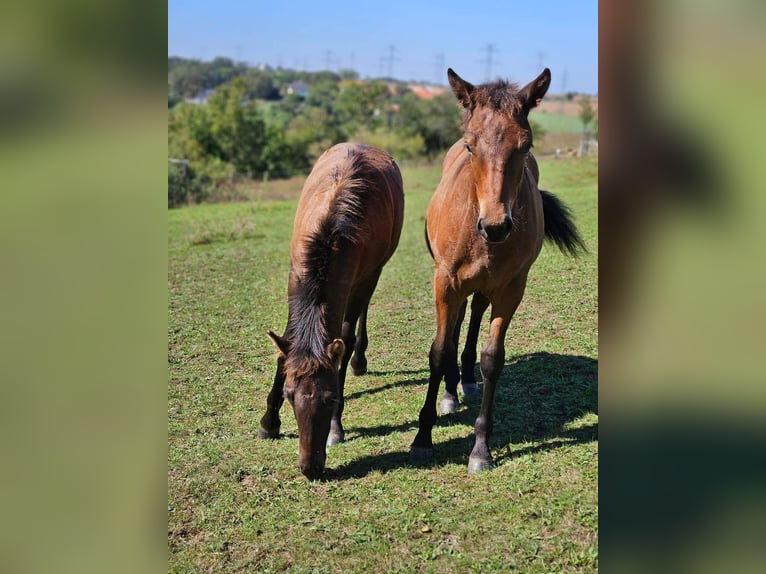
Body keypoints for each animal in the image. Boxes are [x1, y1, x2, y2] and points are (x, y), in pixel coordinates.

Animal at [258, 143, 404, 482]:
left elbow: (346, 338)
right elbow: (286, 345)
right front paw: (269, 422)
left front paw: (336, 427)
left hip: (372, 274)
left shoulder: (363, 277)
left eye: (332, 396)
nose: (310, 467)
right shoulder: (295, 277)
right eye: (289, 395)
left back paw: (359, 360)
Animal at [412, 70, 584, 474]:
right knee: (458, 322)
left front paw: (480, 449)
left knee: (474, 314)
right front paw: (423, 438)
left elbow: (493, 359)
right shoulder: (445, 282)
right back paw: (450, 391)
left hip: (486, 285)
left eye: (526, 145)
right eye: (470, 145)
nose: (495, 226)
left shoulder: (511, 289)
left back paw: (465, 380)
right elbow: (438, 350)